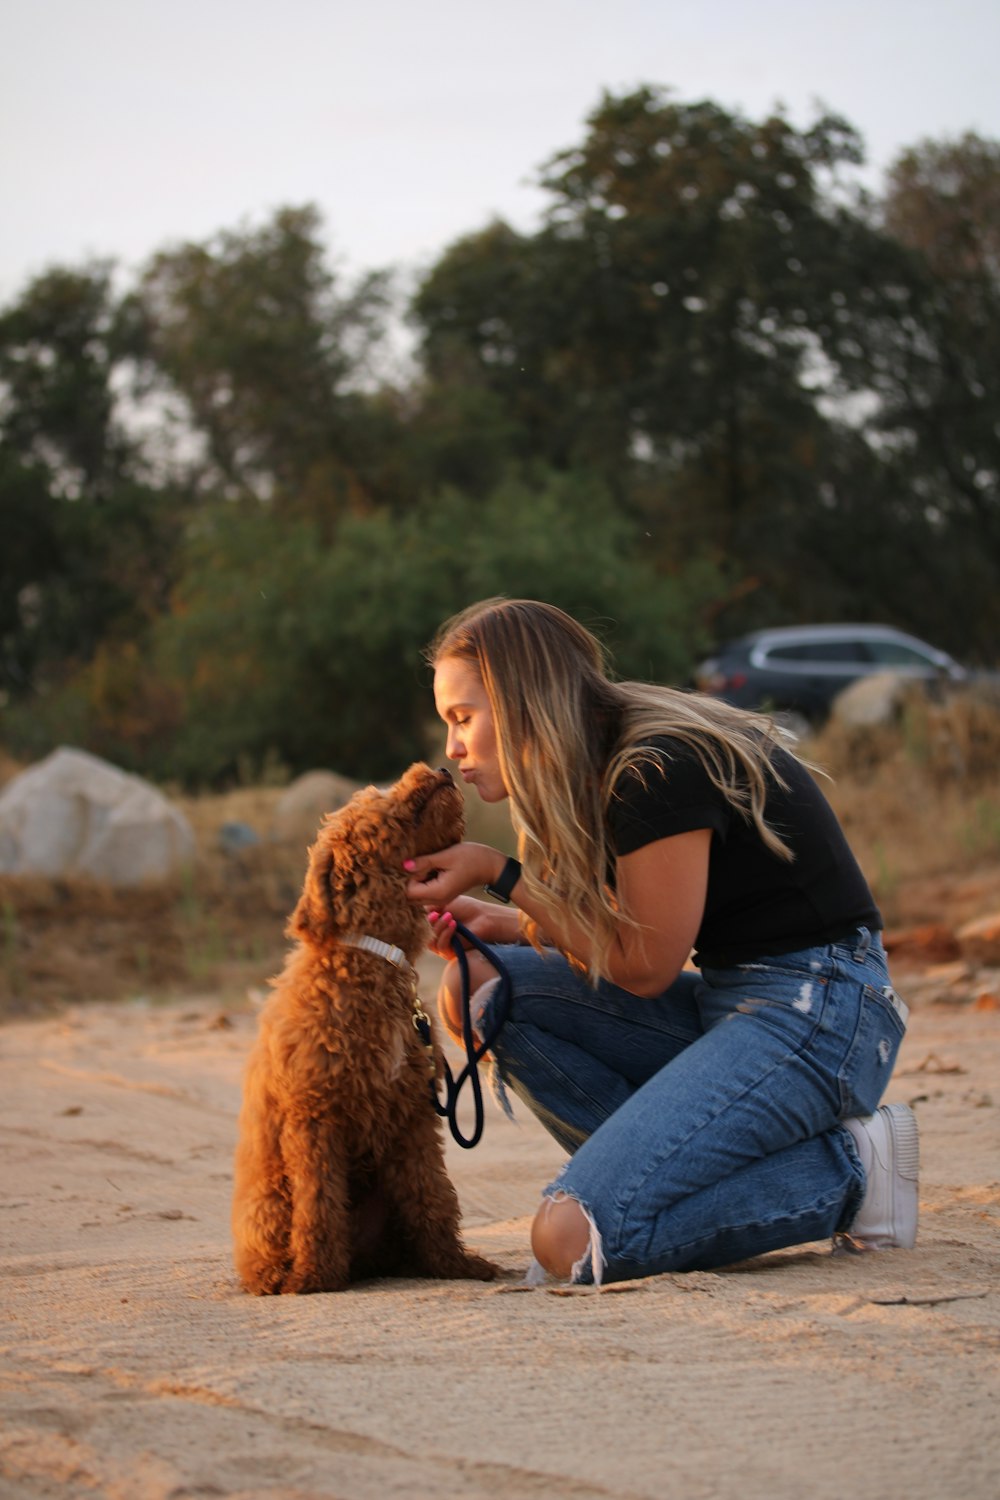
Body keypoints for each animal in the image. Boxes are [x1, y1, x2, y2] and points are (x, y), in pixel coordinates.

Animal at [233, 762, 500, 1290]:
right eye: (375, 797)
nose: (439, 766)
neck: (375, 957)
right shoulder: (314, 1118)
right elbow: (318, 1205)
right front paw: (313, 1277)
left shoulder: (413, 1116)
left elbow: (433, 1195)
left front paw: (453, 1265)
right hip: (270, 1195)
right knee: (274, 1240)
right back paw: (279, 1275)